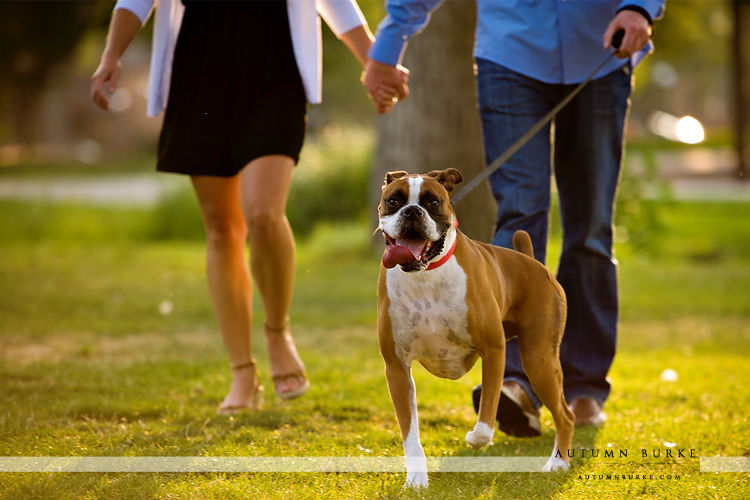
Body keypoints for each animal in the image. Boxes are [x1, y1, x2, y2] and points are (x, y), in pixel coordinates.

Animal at [376, 169, 576, 488]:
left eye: (432, 202)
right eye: (394, 201)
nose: (412, 211)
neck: (426, 274)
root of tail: (530, 260)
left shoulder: (494, 351)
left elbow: (485, 424)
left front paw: (473, 437)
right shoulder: (396, 369)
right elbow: (410, 433)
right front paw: (416, 480)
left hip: (539, 362)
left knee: (566, 417)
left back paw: (558, 463)